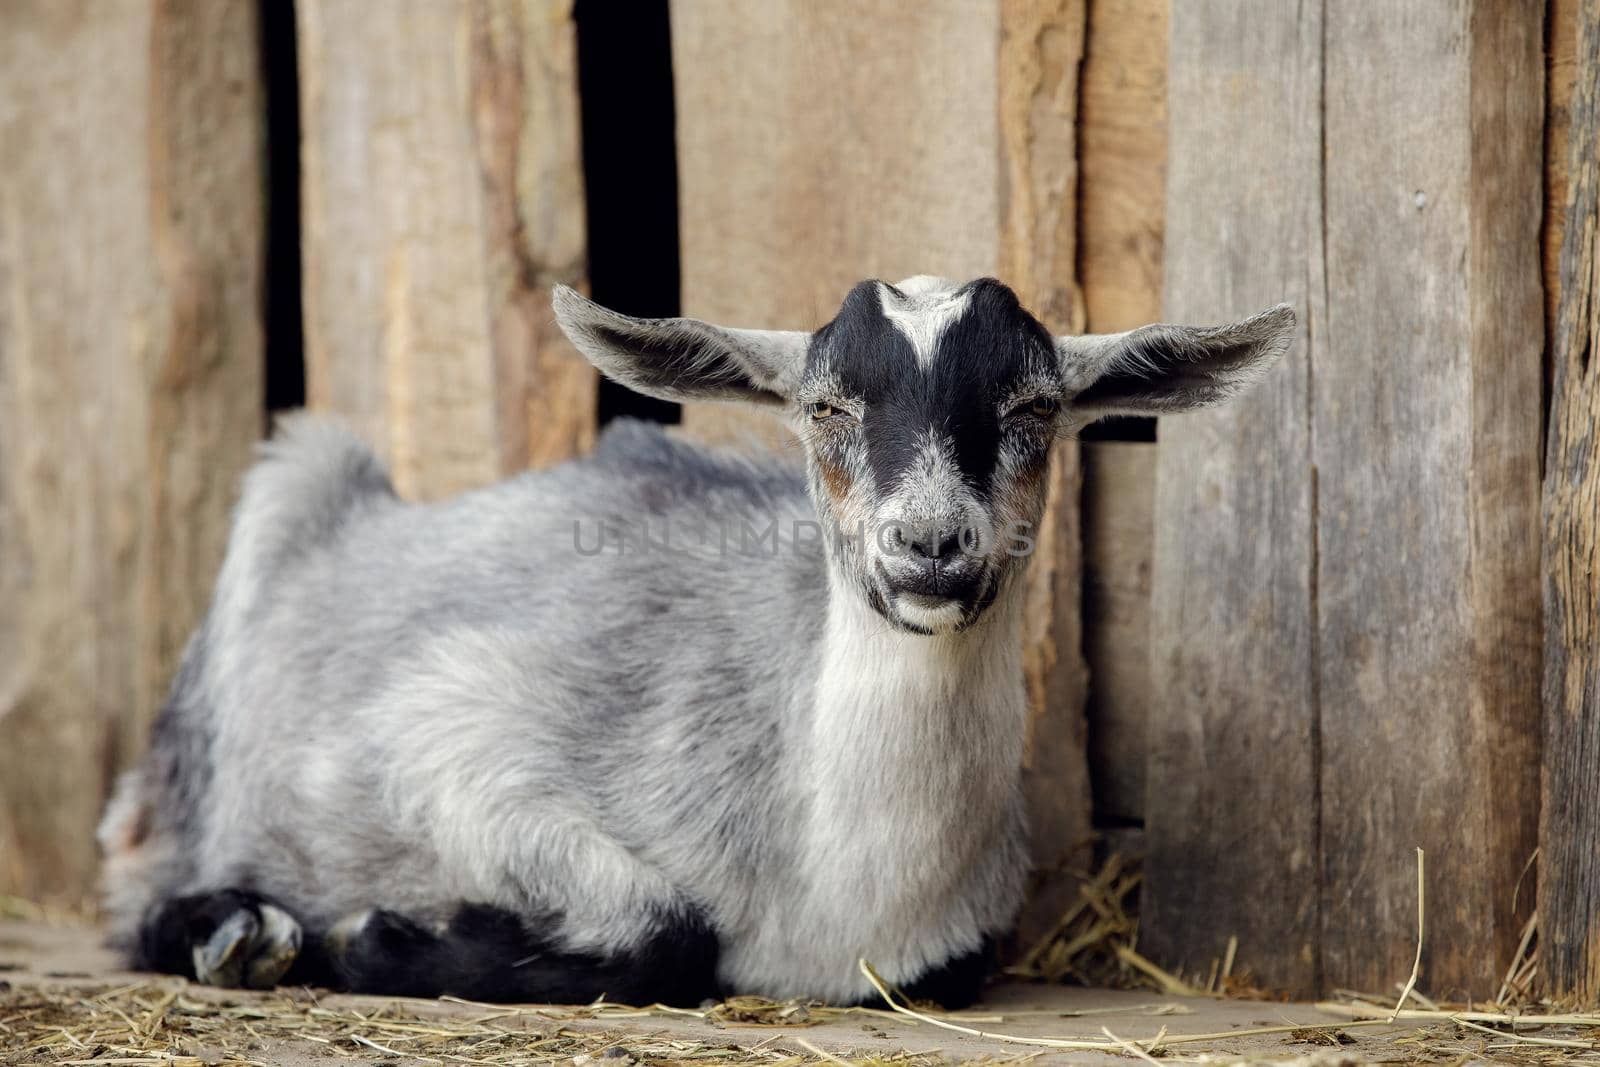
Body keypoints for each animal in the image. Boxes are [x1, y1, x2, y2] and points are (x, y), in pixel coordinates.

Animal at [100, 275, 1292, 1011]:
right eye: (825, 408)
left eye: (1034, 410)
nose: (930, 544)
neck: (830, 887)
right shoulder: (445, 730)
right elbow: (667, 930)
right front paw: (374, 937)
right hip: (281, 505)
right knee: (132, 868)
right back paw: (236, 930)